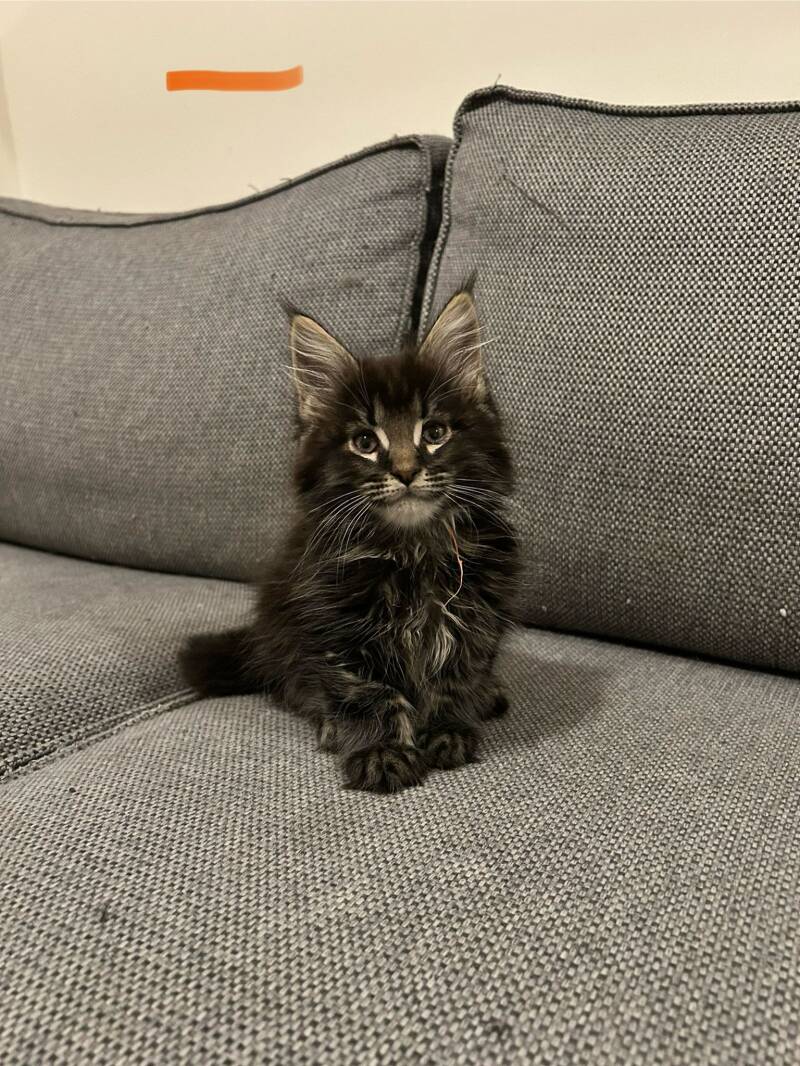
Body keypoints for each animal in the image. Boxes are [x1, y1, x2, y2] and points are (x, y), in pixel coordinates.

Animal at [178, 287, 518, 793]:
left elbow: (456, 675)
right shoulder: (336, 626)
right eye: (365, 442)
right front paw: (381, 752)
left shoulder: (477, 614)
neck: (412, 551)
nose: (405, 471)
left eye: (434, 433)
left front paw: (449, 729)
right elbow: (368, 693)